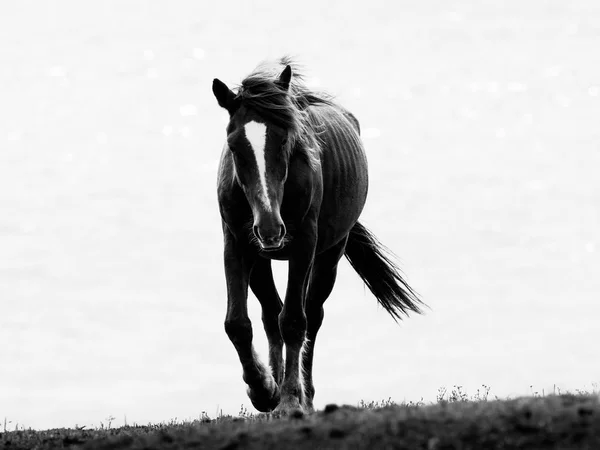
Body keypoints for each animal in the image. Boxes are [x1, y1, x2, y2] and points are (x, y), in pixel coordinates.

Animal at [213, 56, 424, 414]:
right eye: (233, 145)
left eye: (285, 140)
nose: (270, 227)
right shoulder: (237, 244)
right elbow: (238, 323)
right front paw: (263, 391)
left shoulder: (304, 246)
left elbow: (294, 321)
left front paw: (290, 401)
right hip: (261, 259)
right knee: (270, 314)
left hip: (329, 255)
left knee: (310, 316)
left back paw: (305, 397)